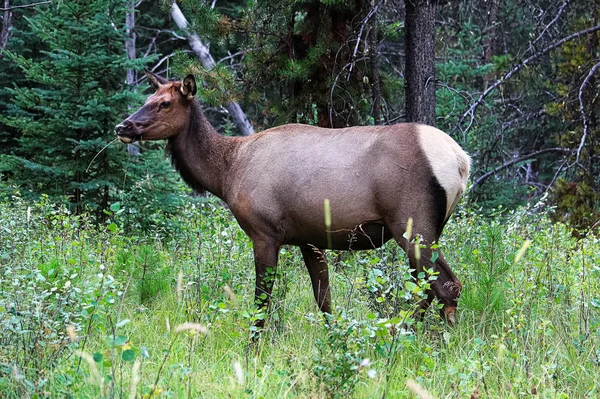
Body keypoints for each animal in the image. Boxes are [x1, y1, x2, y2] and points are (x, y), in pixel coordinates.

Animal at [117, 71, 472, 332]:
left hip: (412, 224)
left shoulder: (265, 232)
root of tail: (461, 161)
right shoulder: (309, 239)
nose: (123, 125)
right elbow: (324, 300)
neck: (227, 173)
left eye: (164, 103)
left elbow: (261, 301)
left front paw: (252, 350)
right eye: (148, 99)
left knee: (444, 287)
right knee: (434, 287)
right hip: (427, 229)